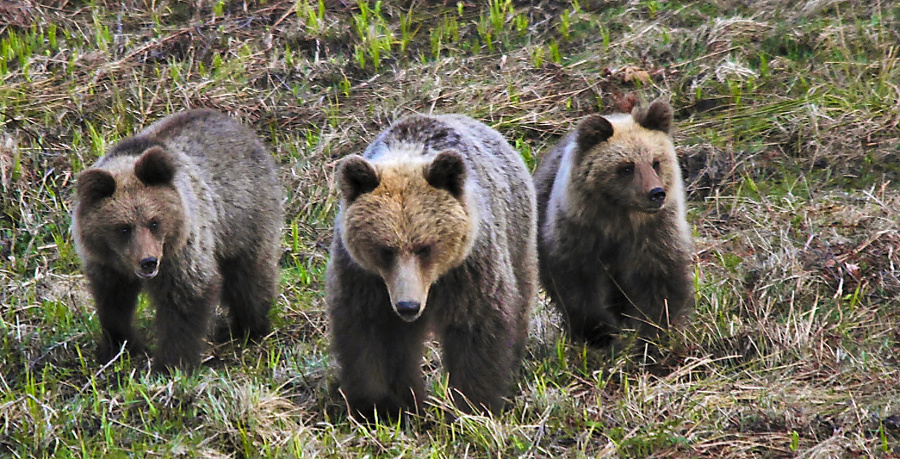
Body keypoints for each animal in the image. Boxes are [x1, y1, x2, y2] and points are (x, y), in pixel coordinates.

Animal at [74, 109, 284, 372]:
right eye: (123, 228)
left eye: (154, 222)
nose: (148, 262)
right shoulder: (105, 265)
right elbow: (113, 304)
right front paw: (119, 348)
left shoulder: (181, 251)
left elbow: (187, 297)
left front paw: (171, 364)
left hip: (245, 219)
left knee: (250, 276)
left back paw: (248, 327)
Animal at [326, 113, 536, 418]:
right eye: (385, 250)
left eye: (425, 247)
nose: (408, 306)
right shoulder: (363, 277)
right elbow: (368, 335)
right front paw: (382, 406)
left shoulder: (469, 269)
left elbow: (478, 330)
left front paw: (473, 405)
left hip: (518, 236)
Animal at [536, 98, 696, 348]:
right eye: (627, 167)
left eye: (656, 162)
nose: (656, 193)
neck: (619, 218)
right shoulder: (578, 232)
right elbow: (577, 284)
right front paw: (598, 334)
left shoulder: (654, 233)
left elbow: (660, 280)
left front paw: (656, 333)